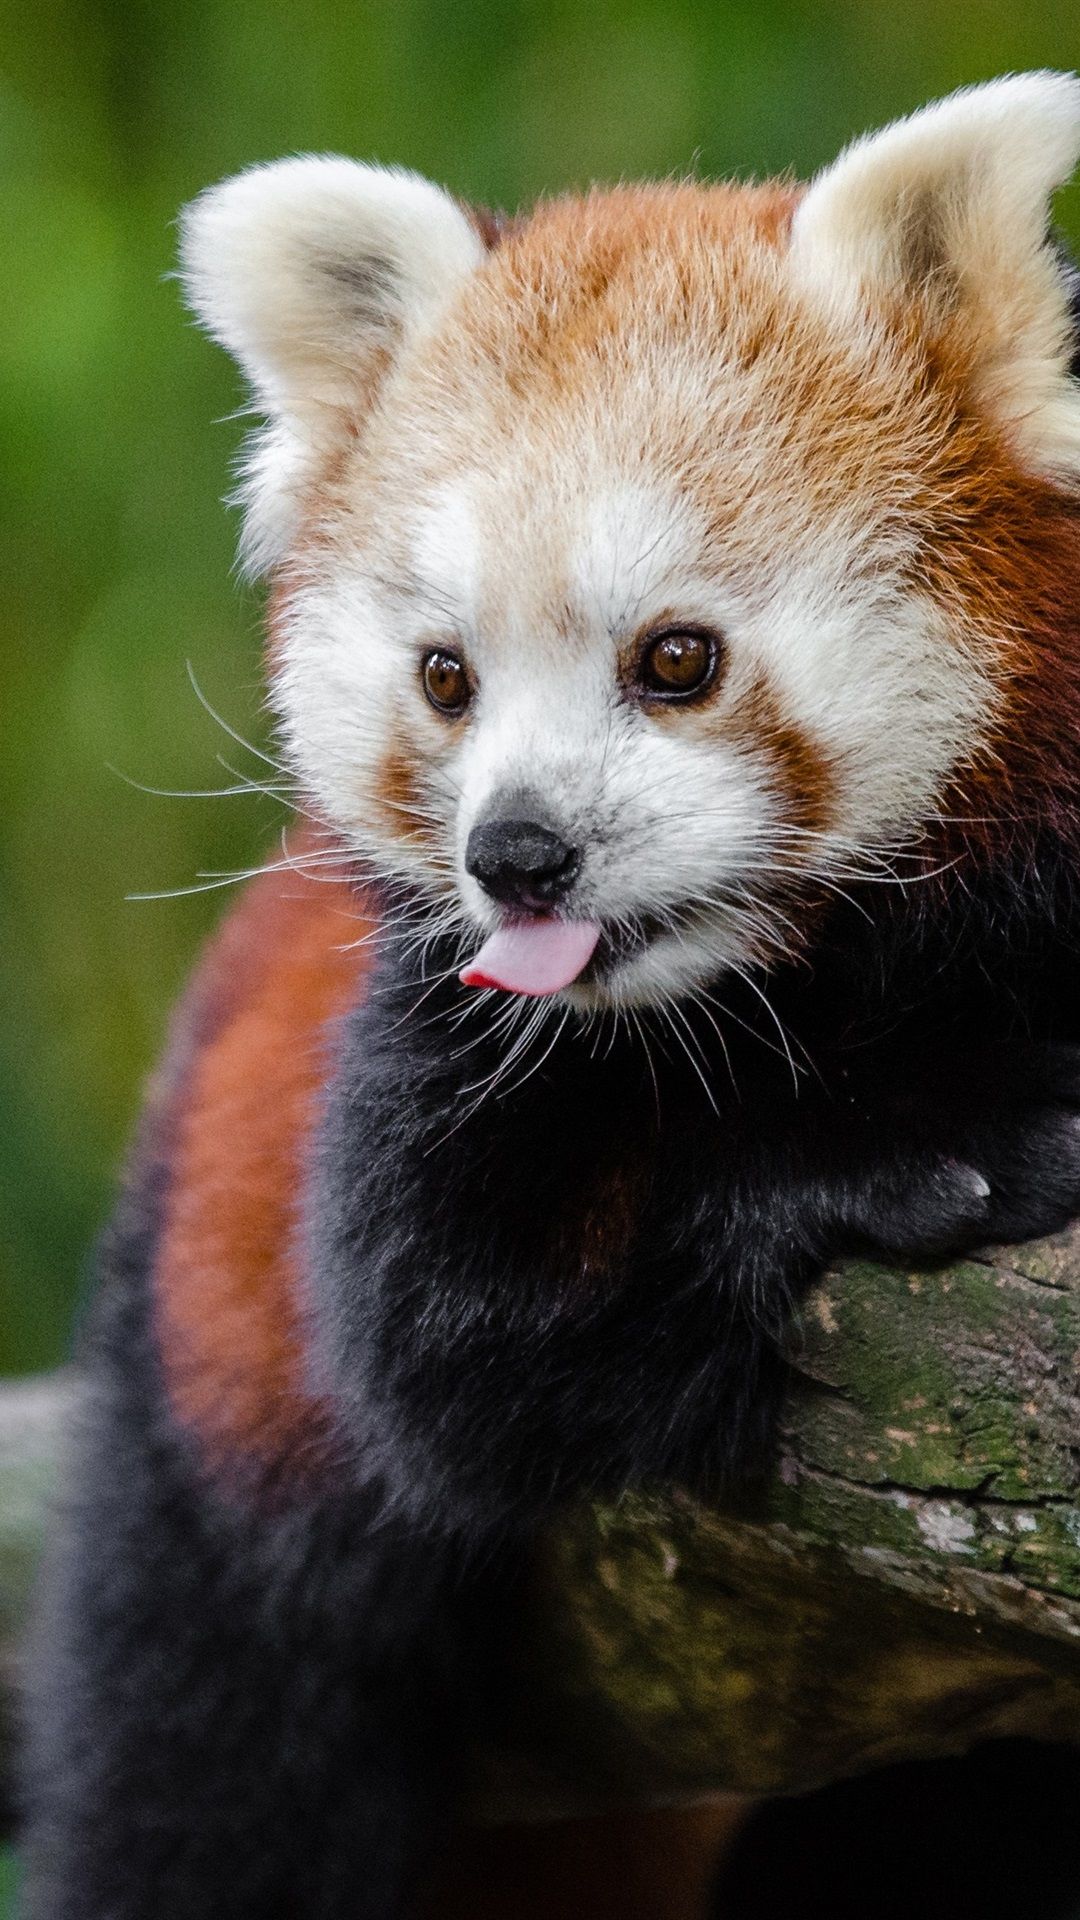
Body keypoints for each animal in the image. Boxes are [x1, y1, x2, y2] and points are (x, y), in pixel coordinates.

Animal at [19, 72, 1080, 1919]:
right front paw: (912, 1147)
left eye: (679, 659)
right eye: (446, 678)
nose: (518, 854)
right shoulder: (428, 1053)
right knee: (207, 1766)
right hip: (216, 1364)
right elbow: (467, 1348)